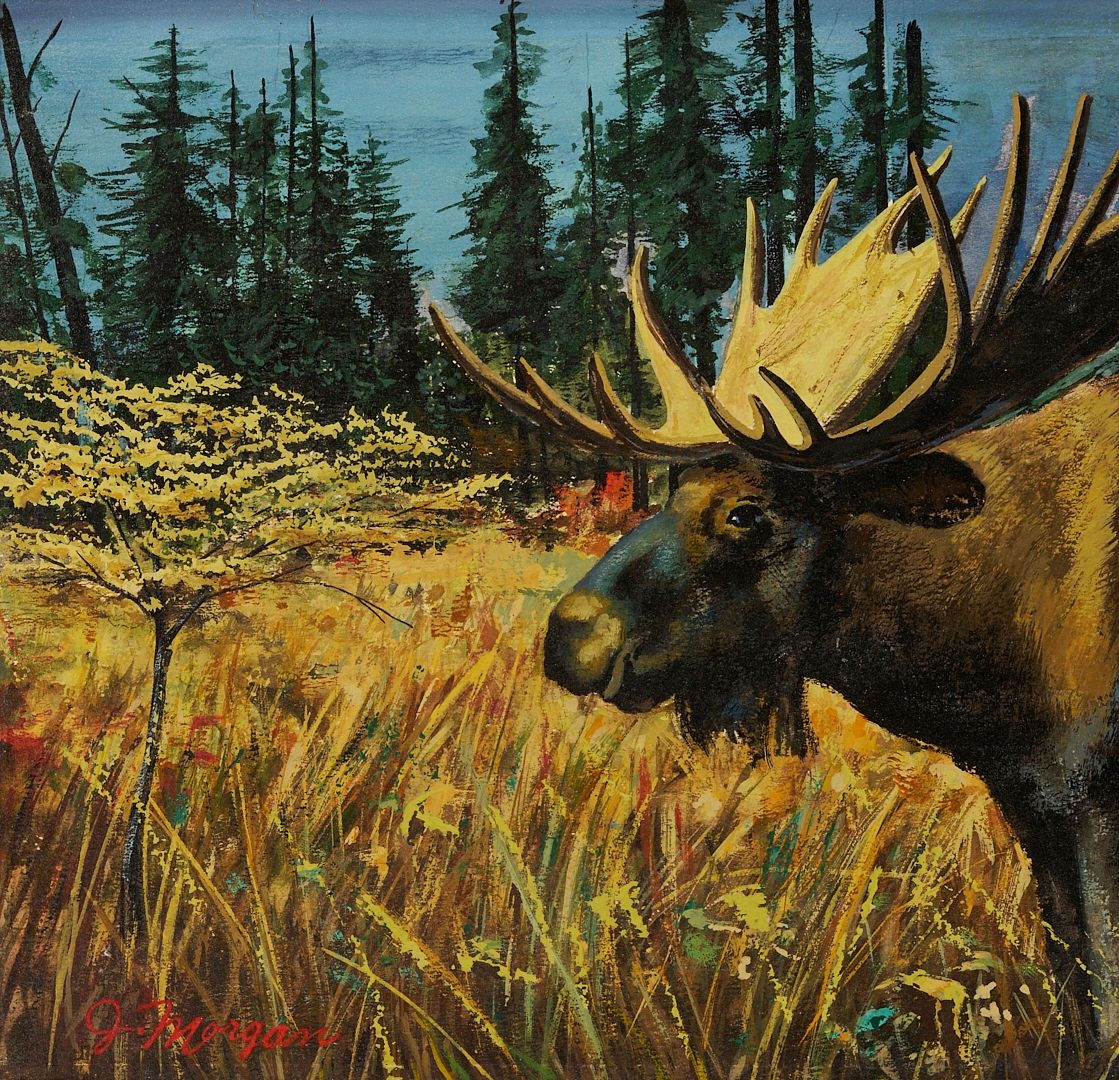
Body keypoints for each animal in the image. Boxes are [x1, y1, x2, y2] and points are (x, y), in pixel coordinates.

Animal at [431, 94, 1119, 1051]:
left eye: (748, 513)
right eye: (673, 486)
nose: (570, 634)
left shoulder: (1089, 795)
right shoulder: (1036, 802)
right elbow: (1077, 1000)